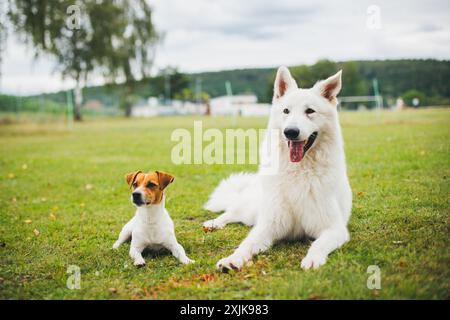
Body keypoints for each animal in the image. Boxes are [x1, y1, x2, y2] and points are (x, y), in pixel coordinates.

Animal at [203, 66, 352, 272]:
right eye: (286, 111)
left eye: (310, 111)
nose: (290, 132)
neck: (299, 171)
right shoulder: (268, 225)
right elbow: (247, 243)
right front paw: (232, 259)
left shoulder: (334, 228)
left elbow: (318, 244)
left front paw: (313, 259)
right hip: (251, 211)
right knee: (230, 213)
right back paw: (213, 223)